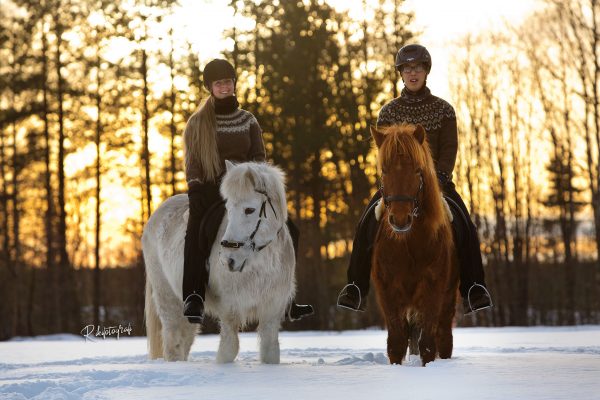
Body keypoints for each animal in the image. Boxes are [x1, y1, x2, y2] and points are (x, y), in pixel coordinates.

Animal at [144, 161, 298, 364]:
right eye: (229, 209)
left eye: (249, 210)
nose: (228, 260)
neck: (258, 265)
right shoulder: (230, 311)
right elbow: (229, 350)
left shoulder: (271, 312)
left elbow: (270, 351)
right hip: (167, 297)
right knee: (173, 341)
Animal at [370, 123, 460, 368]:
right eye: (384, 171)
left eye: (417, 170)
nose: (400, 220)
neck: (408, 246)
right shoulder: (388, 292)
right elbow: (396, 343)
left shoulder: (432, 290)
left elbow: (428, 344)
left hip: (448, 299)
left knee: (444, 338)